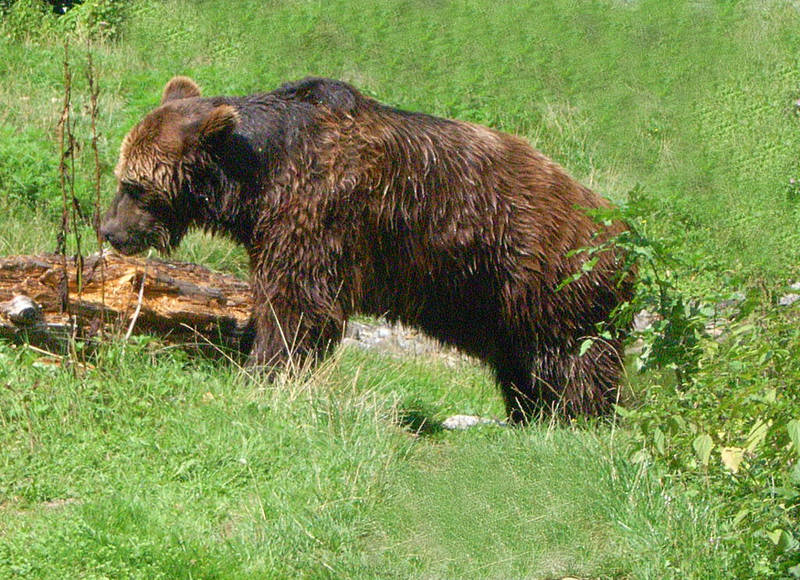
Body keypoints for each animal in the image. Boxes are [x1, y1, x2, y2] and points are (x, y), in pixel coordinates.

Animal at [100, 76, 632, 422]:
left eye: (136, 186)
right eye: (122, 176)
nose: (109, 230)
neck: (255, 182)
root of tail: (624, 230)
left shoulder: (317, 212)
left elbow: (297, 304)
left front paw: (263, 372)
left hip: (547, 275)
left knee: (574, 358)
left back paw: (578, 418)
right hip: (500, 304)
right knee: (522, 363)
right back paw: (530, 415)